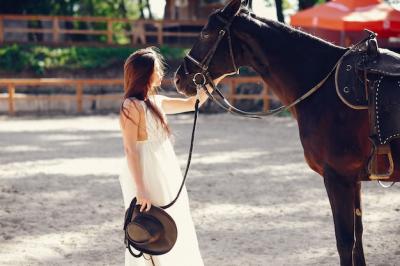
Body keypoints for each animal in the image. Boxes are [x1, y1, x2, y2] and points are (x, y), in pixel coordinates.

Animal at [174, 0, 400, 266]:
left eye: (206, 33)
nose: (178, 78)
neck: (323, 88)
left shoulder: (337, 178)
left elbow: (345, 241)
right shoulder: (352, 180)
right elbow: (358, 238)